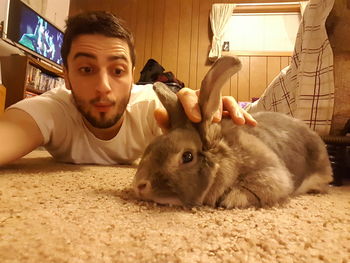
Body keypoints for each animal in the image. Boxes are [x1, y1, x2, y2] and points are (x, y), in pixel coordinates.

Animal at [133, 56, 332, 209]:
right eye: (152, 145)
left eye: (187, 156)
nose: (139, 185)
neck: (226, 157)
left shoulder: (272, 175)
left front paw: (230, 199)